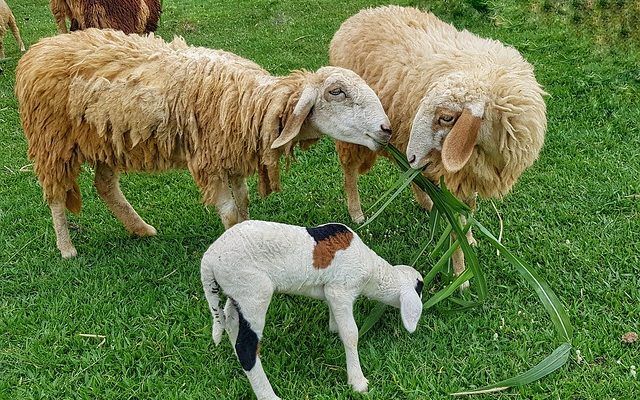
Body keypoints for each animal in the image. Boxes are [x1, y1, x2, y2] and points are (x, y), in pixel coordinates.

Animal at [15, 28, 392, 260]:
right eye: (336, 92)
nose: (386, 129)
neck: (253, 103)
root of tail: (38, 50)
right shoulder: (209, 160)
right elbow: (229, 212)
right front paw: (236, 245)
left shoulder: (233, 155)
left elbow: (243, 201)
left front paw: (249, 231)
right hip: (51, 139)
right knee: (56, 196)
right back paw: (66, 247)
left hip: (105, 137)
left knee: (105, 185)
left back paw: (141, 229)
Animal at [201, 220, 424, 398]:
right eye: (420, 288)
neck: (372, 270)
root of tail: (208, 260)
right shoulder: (341, 290)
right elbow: (351, 334)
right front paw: (358, 383)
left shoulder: (331, 291)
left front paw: (333, 328)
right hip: (253, 292)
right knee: (246, 348)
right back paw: (269, 395)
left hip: (237, 292)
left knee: (231, 323)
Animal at [332, 4, 548, 282]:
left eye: (446, 117)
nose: (413, 155)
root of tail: (359, 16)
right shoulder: (453, 175)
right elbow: (456, 221)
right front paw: (460, 273)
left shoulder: (469, 173)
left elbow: (468, 210)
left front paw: (470, 240)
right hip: (355, 129)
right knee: (350, 170)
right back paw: (357, 212)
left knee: (408, 171)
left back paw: (425, 201)